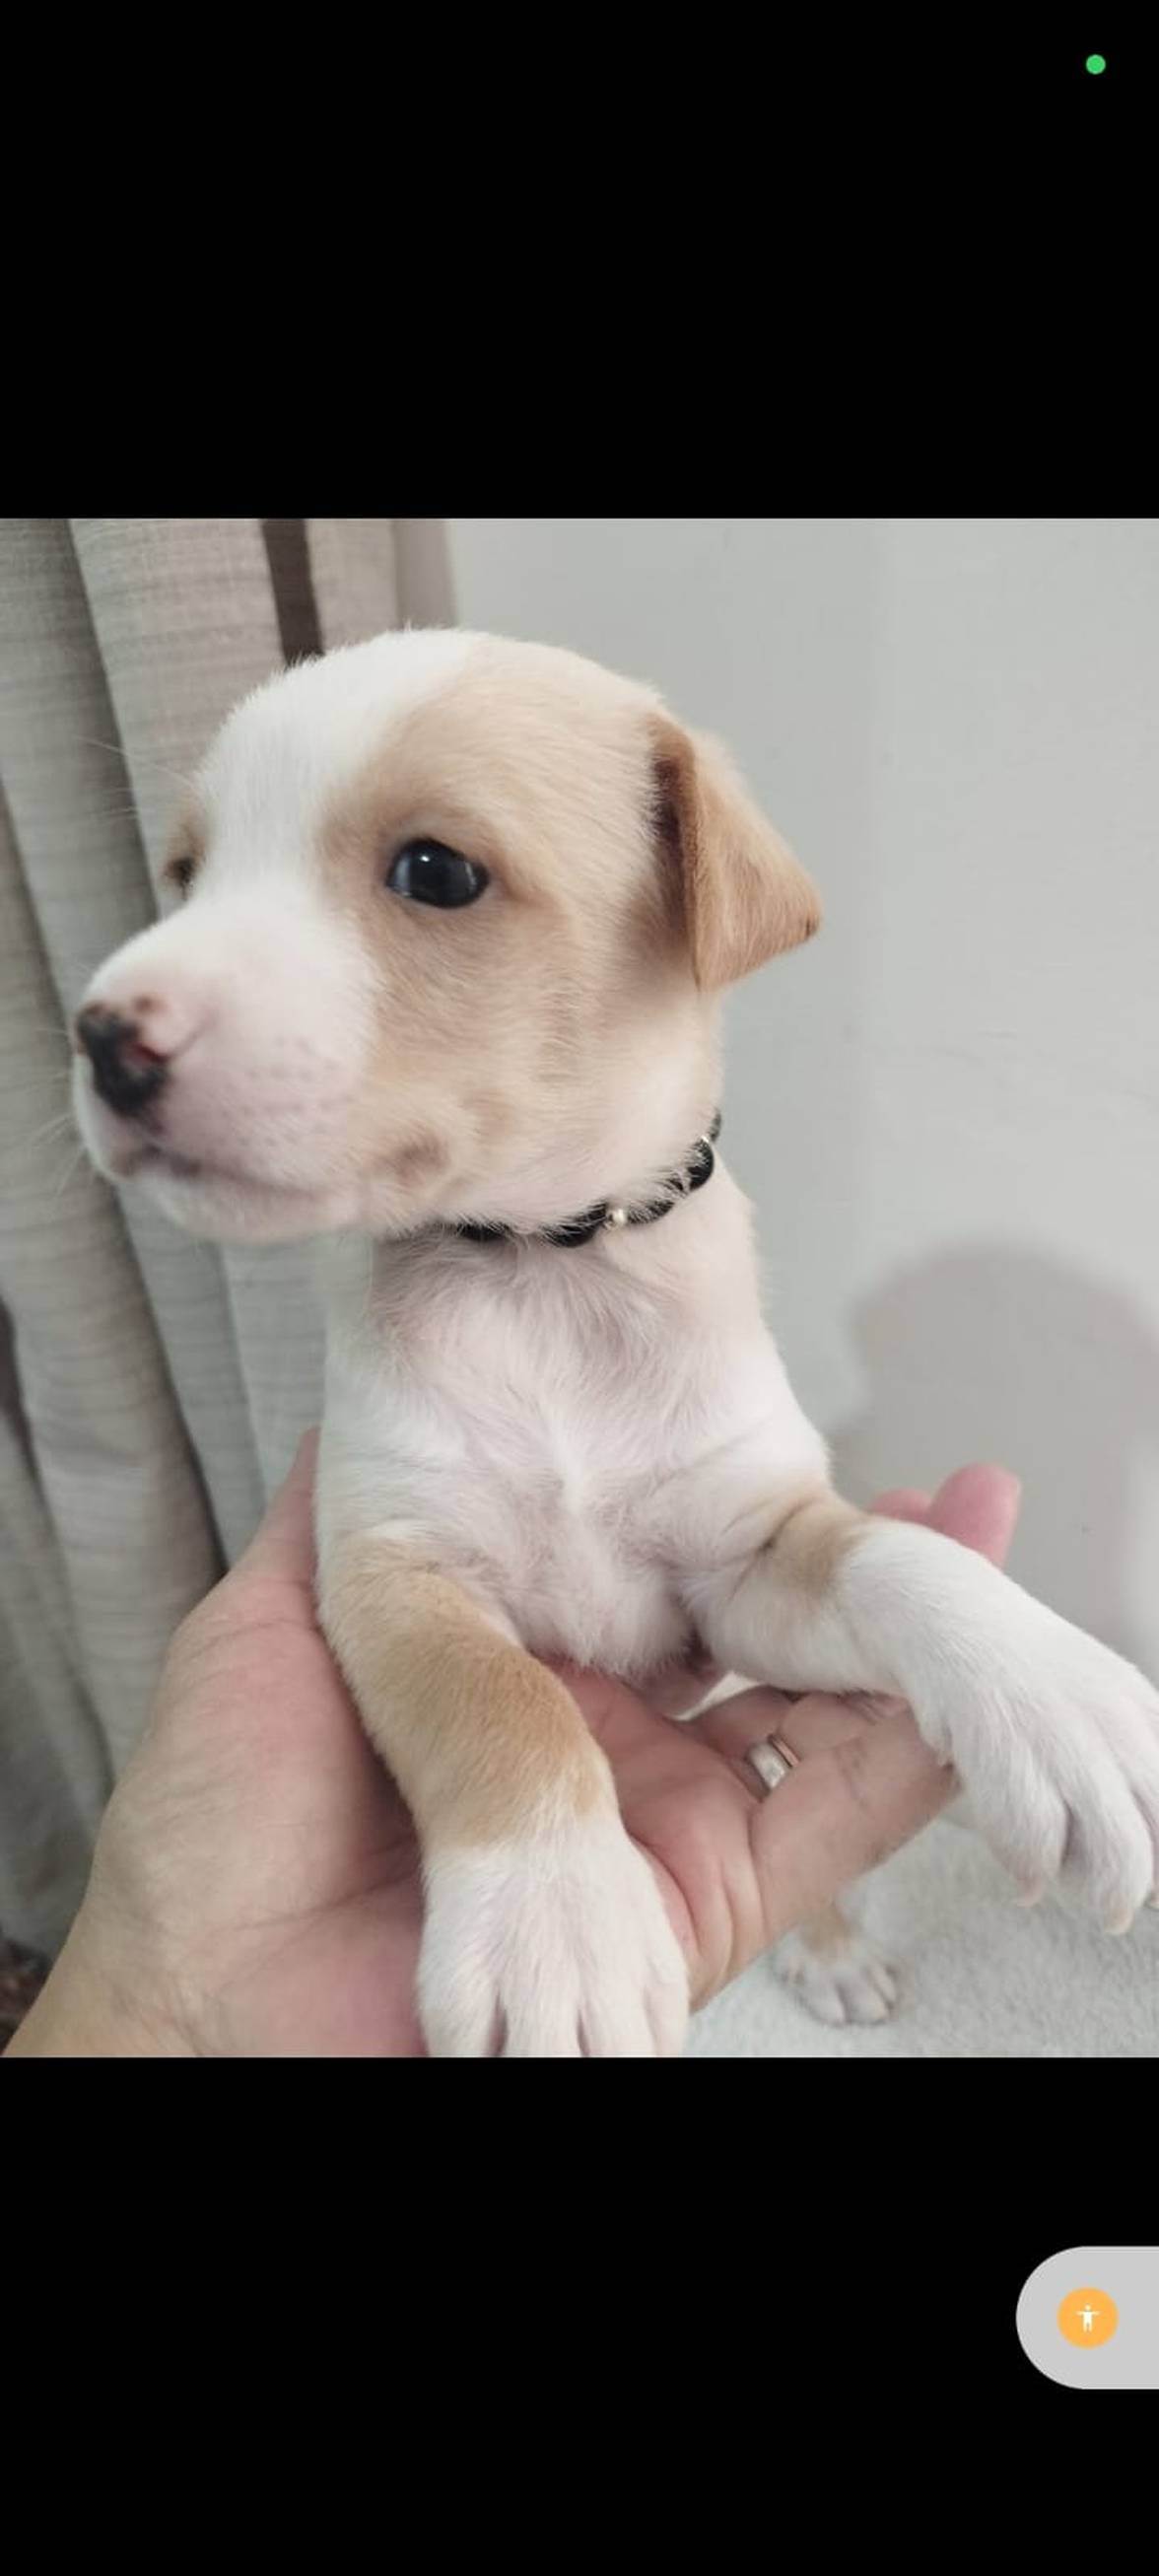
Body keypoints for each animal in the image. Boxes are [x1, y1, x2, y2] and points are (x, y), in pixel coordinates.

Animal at [72, 629, 1159, 2056]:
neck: (547, 1268)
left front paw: (1051, 1689)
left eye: (436, 872)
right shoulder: (395, 1575)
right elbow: (506, 1704)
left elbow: (900, 1554)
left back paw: (828, 1946)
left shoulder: (744, 1560)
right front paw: (557, 1927)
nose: (98, 1036)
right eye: (187, 876)